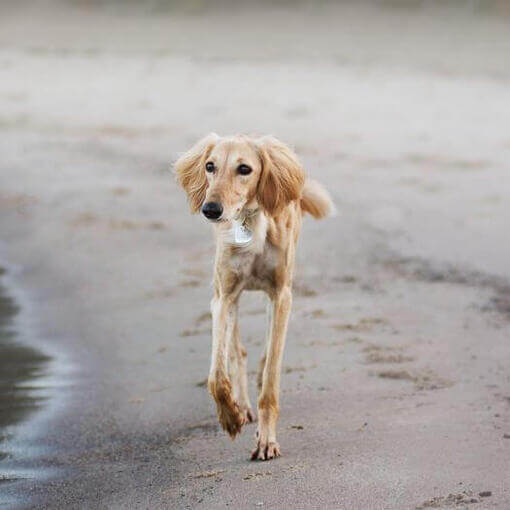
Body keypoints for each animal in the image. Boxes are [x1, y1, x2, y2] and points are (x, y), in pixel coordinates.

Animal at [175, 133, 334, 460]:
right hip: (231, 299)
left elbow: (271, 378)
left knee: (263, 356)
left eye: (244, 169)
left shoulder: (281, 295)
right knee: (237, 351)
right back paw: (241, 406)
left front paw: (266, 440)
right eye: (210, 166)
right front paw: (230, 417)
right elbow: (216, 376)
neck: (250, 223)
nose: (211, 209)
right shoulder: (222, 297)